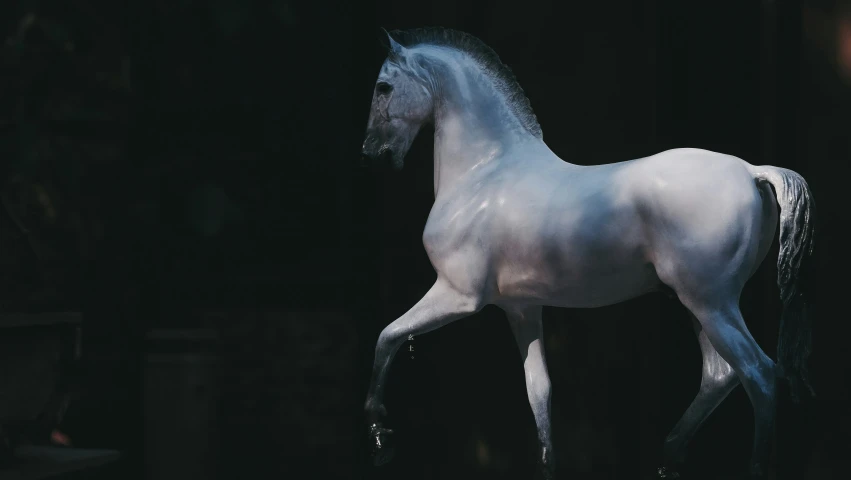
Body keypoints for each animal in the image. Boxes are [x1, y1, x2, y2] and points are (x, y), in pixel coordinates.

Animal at [362, 27, 820, 480]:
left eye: (384, 86)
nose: (372, 153)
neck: (484, 171)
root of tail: (751, 172)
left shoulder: (457, 296)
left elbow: (388, 335)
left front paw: (379, 432)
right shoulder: (521, 309)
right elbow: (539, 391)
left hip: (712, 304)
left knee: (759, 374)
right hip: (700, 305)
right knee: (720, 375)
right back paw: (668, 457)